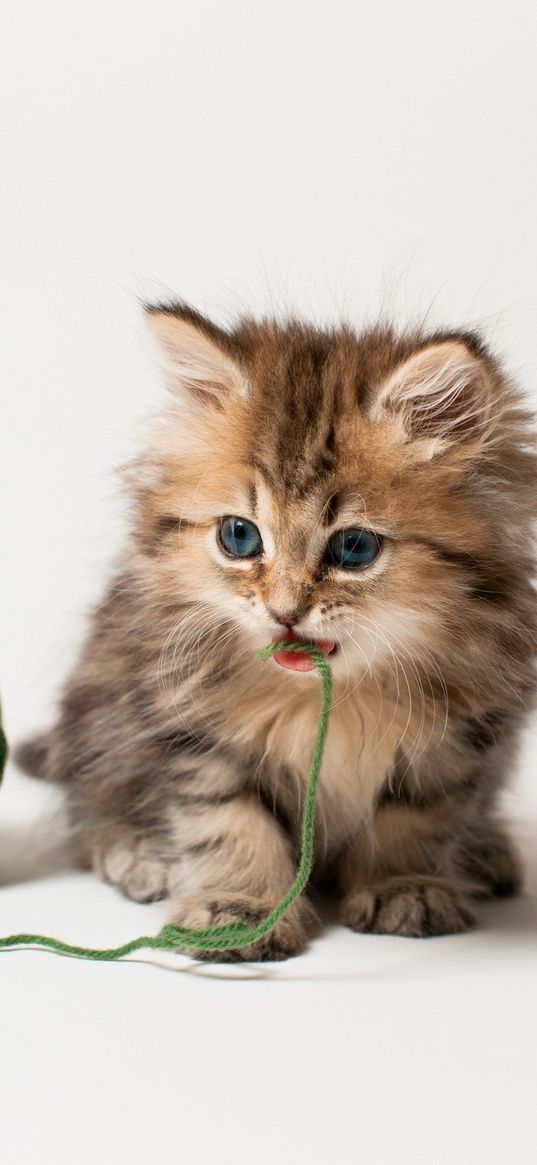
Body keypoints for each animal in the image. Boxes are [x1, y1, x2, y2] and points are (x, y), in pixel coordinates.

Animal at [15, 305, 535, 959]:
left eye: (354, 548)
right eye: (239, 536)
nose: (284, 612)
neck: (330, 698)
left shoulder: (459, 735)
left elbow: (414, 819)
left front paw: (406, 885)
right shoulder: (189, 724)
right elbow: (229, 821)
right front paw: (239, 910)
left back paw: (486, 854)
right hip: (99, 710)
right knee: (88, 811)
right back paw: (138, 855)